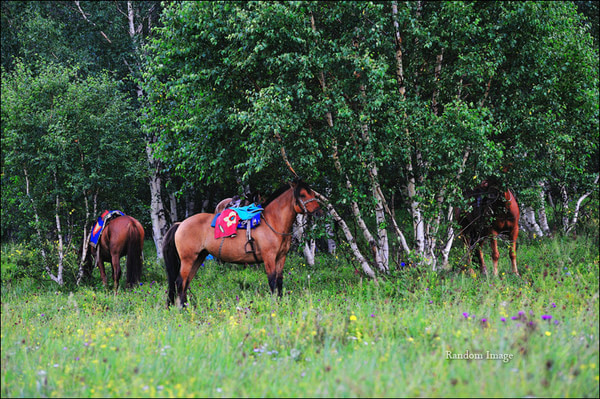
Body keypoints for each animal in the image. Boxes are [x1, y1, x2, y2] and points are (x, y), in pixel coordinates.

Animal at [162, 180, 322, 308]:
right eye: (302, 195)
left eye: (311, 192)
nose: (319, 213)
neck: (272, 221)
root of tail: (181, 223)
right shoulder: (269, 257)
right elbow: (272, 282)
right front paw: (274, 305)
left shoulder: (281, 257)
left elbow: (279, 281)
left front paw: (281, 302)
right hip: (187, 259)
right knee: (180, 282)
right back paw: (182, 309)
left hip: (198, 257)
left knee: (186, 282)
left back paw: (186, 307)